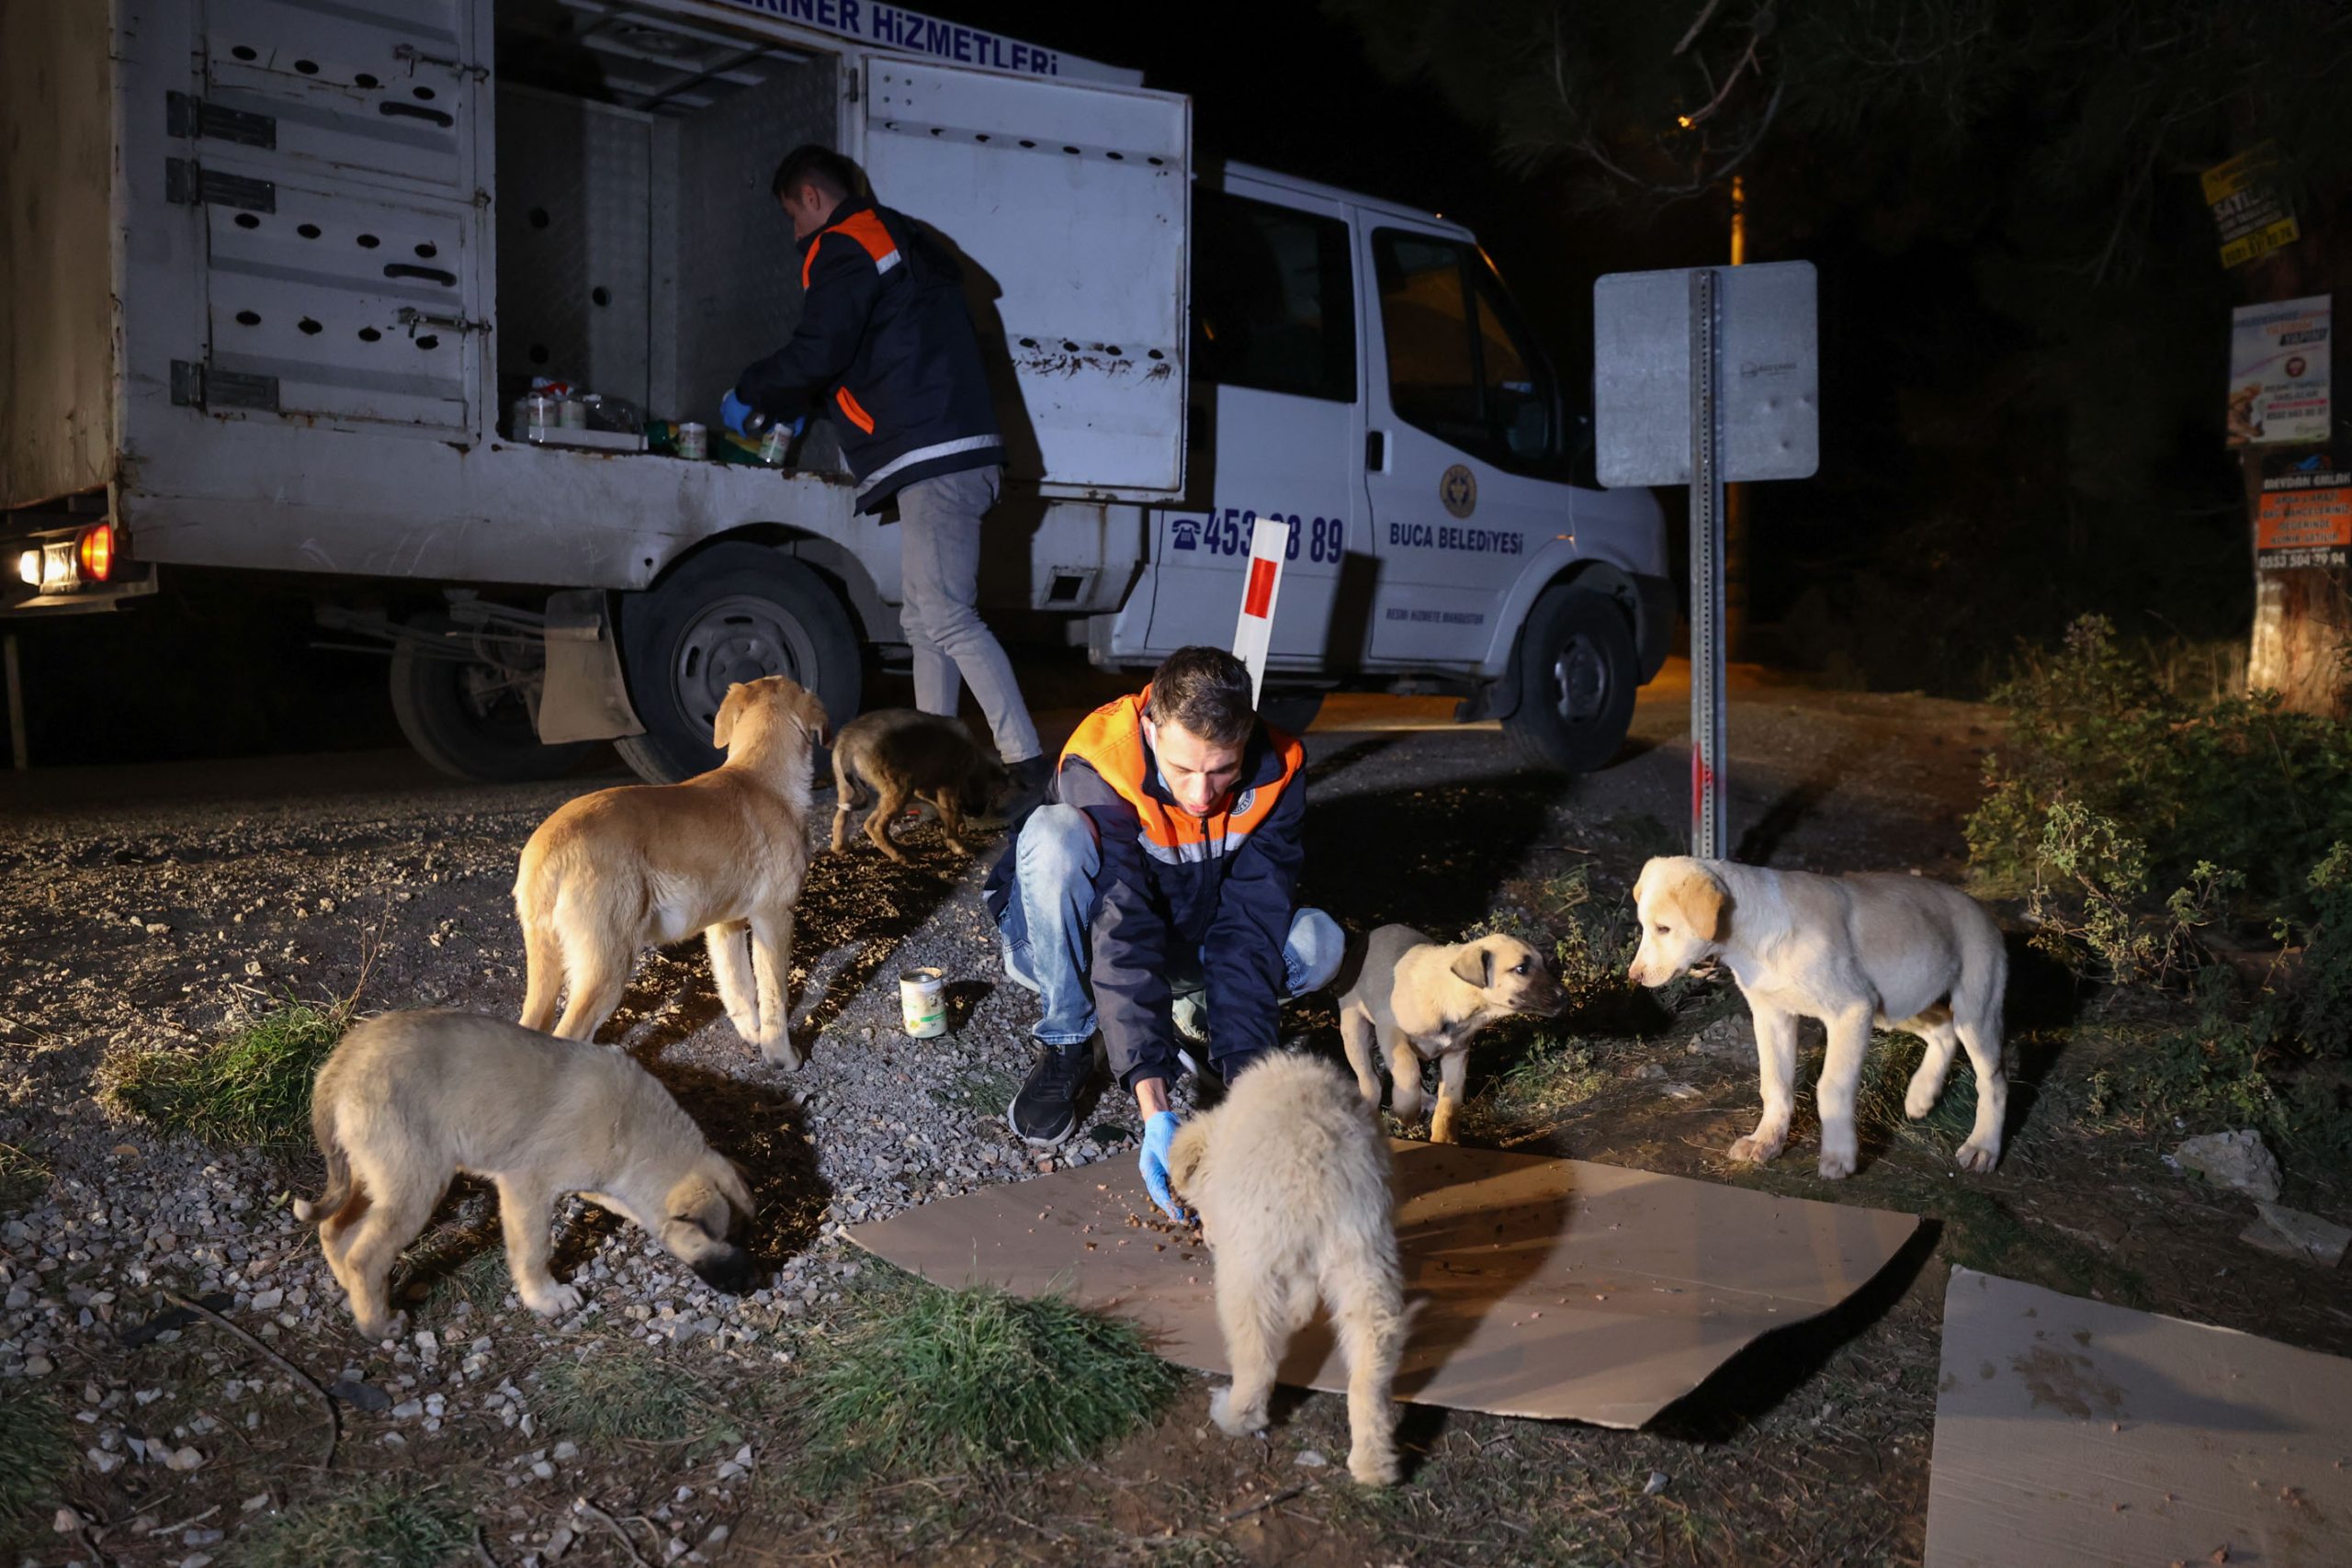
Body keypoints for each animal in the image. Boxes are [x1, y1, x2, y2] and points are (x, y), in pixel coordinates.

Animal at [294, 1010, 752, 1344]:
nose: (750, 1288)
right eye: (725, 1237)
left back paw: (352, 1290)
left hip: (375, 1172)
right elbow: (533, 1250)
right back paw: (378, 1324)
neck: (636, 1129)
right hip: (415, 1183)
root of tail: (340, 1065)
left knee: (336, 1229)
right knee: (366, 1253)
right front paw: (545, 1297)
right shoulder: (526, 1186)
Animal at [514, 677, 828, 1066]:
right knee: (570, 1033)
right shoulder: (774, 916)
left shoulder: (725, 925)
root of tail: (547, 846)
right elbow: (774, 996)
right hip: (607, 964)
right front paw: (782, 1056)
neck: (761, 778)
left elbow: (739, 988)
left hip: (548, 960)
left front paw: (753, 1037)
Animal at [828, 709, 1011, 864]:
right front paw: (958, 845)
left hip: (847, 789)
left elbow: (944, 809)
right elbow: (950, 813)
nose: (975, 814)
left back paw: (841, 847)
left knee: (840, 819)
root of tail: (848, 742)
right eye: (993, 796)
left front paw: (956, 827)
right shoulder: (948, 785)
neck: (973, 757)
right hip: (900, 787)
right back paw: (898, 855)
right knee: (874, 825)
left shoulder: (924, 787)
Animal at [1336, 926, 1571, 1146]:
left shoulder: (1456, 1055)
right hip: (1354, 1030)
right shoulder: (1390, 1029)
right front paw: (1405, 1111)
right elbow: (1407, 1071)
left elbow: (1449, 1102)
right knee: (1370, 1078)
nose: (1565, 996)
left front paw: (1444, 1139)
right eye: (1521, 968)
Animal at [1627, 860, 2013, 1175]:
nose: (1634, 977)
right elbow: (1775, 1085)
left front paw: (1839, 1155)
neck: (1755, 938)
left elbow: (1832, 1087)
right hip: (1896, 1004)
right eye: (1646, 927)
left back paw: (1982, 1146)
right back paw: (1921, 1095)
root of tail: (1980, 909)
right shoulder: (1772, 1015)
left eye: (1664, 929)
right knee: (1944, 1029)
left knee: (1993, 1080)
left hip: (1974, 1010)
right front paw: (1766, 1141)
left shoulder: (1851, 1010)